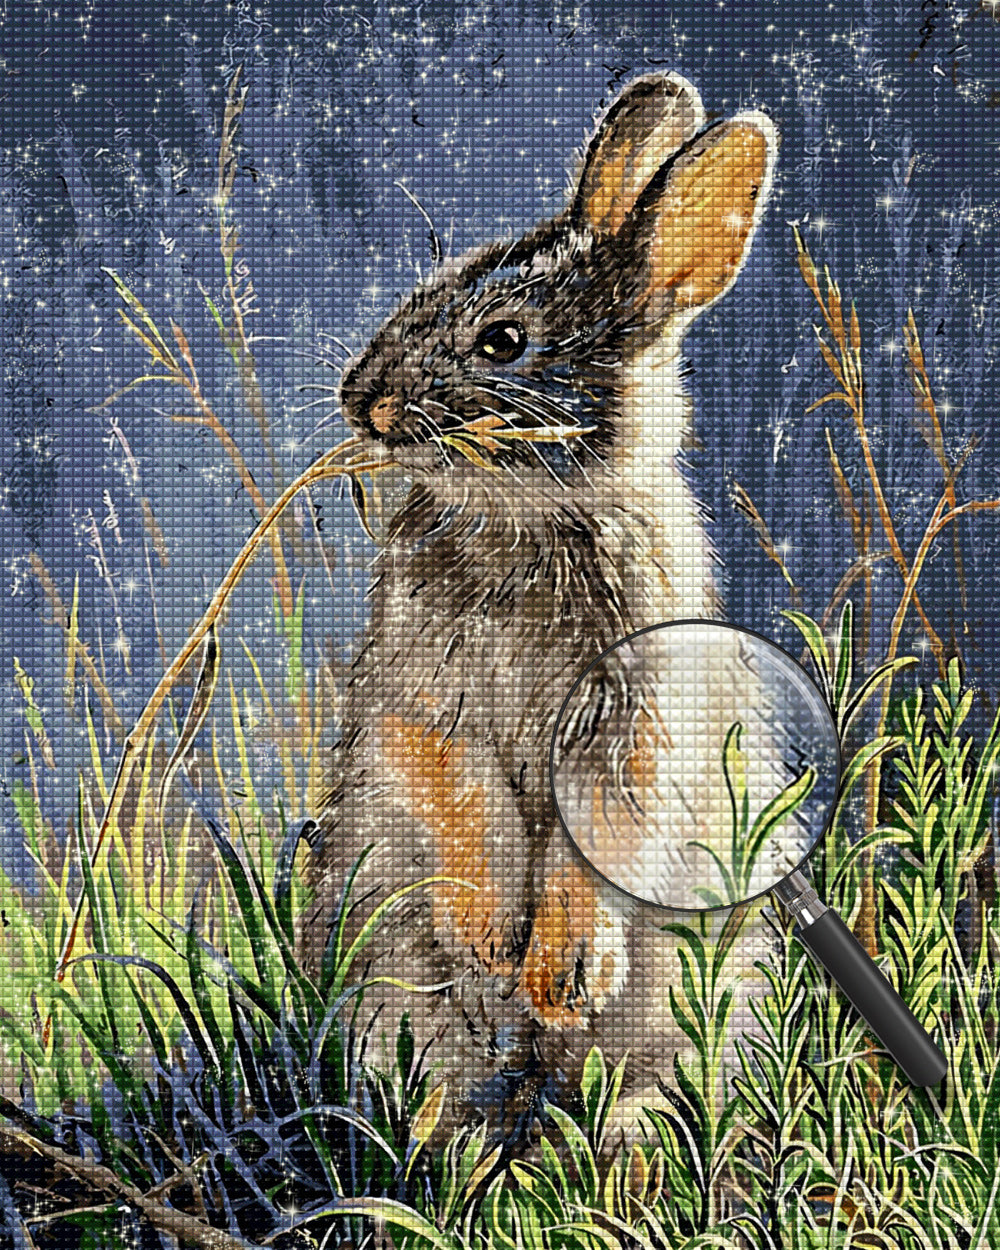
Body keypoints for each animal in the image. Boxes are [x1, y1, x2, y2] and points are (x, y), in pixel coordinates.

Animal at [297, 71, 780, 1155]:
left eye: (505, 340)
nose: (361, 399)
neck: (527, 513)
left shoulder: (630, 722)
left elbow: (596, 831)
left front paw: (561, 973)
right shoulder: (424, 697)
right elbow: (460, 797)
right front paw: (490, 936)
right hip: (388, 972)